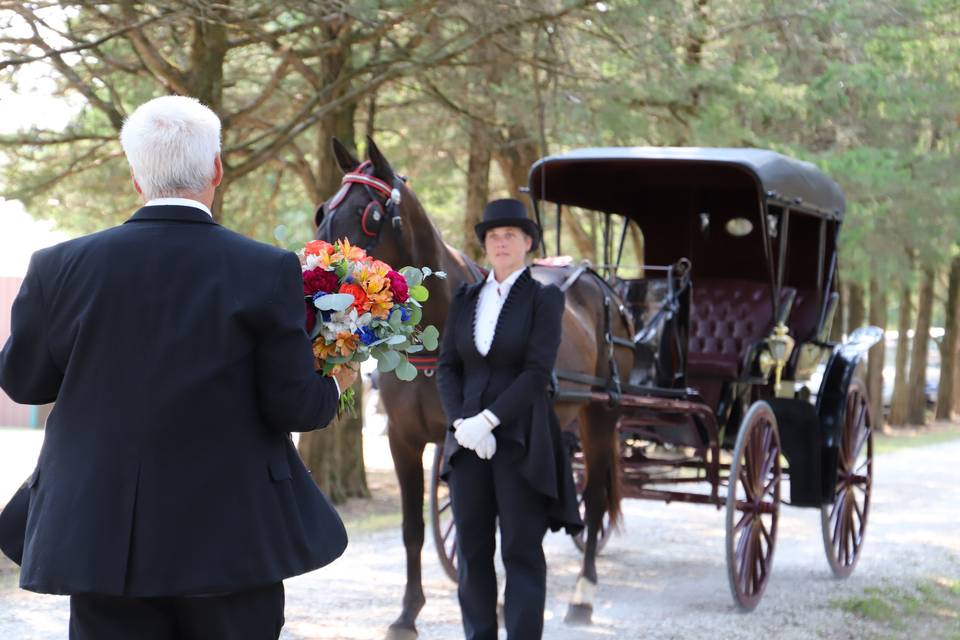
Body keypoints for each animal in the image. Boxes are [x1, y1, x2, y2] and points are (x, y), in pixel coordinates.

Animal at [316, 138, 632, 636]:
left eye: (369, 214)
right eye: (324, 209)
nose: (324, 290)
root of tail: (604, 289)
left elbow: (485, 528)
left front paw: (496, 605)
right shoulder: (403, 441)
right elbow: (414, 529)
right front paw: (408, 613)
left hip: (601, 416)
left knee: (596, 500)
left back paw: (582, 595)